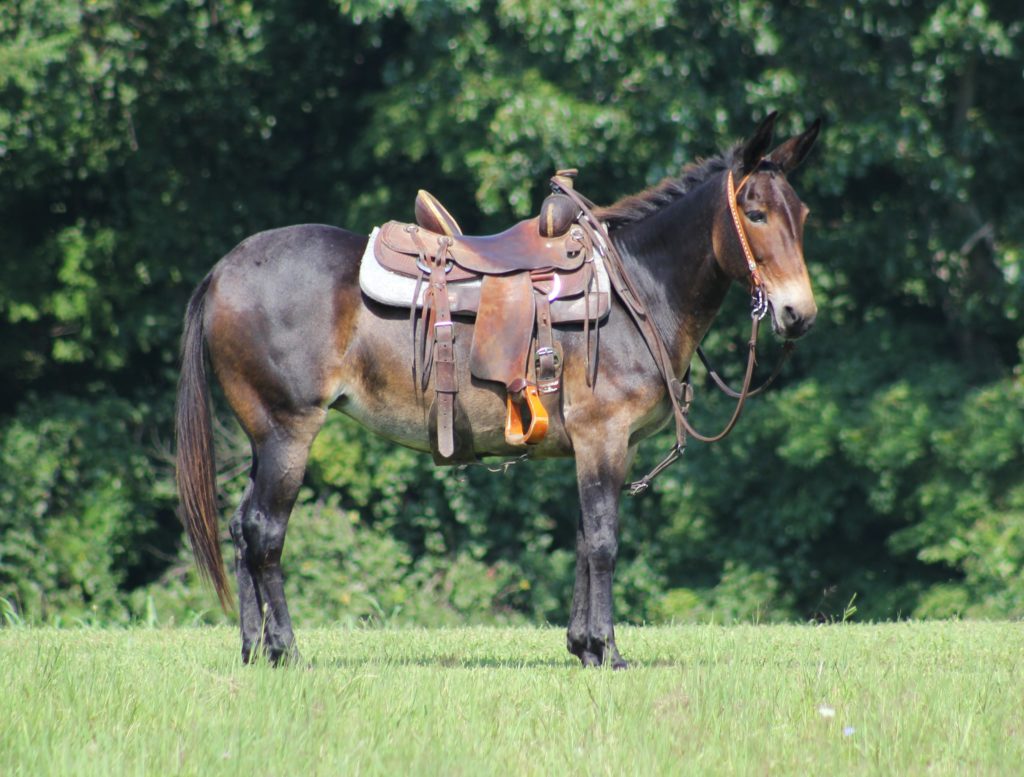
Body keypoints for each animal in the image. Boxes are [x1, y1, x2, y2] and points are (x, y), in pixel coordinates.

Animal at [176, 112, 820, 668]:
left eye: (803, 213)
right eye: (755, 213)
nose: (799, 313)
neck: (635, 290)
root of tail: (225, 269)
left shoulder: (599, 448)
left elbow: (584, 538)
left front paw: (584, 645)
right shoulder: (603, 437)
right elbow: (604, 541)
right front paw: (609, 652)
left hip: (263, 438)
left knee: (241, 530)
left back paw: (254, 649)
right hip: (288, 432)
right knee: (265, 533)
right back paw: (285, 650)